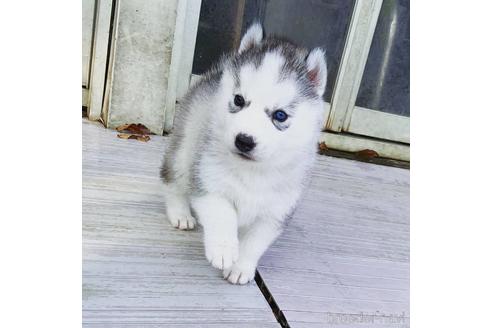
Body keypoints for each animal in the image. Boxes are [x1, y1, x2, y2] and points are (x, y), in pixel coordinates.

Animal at [161, 23, 326, 284]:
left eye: (280, 115)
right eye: (239, 100)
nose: (244, 141)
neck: (253, 170)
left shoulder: (275, 212)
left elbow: (254, 243)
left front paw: (241, 267)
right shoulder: (208, 183)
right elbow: (223, 212)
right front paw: (223, 249)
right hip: (185, 151)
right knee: (173, 181)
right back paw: (180, 214)